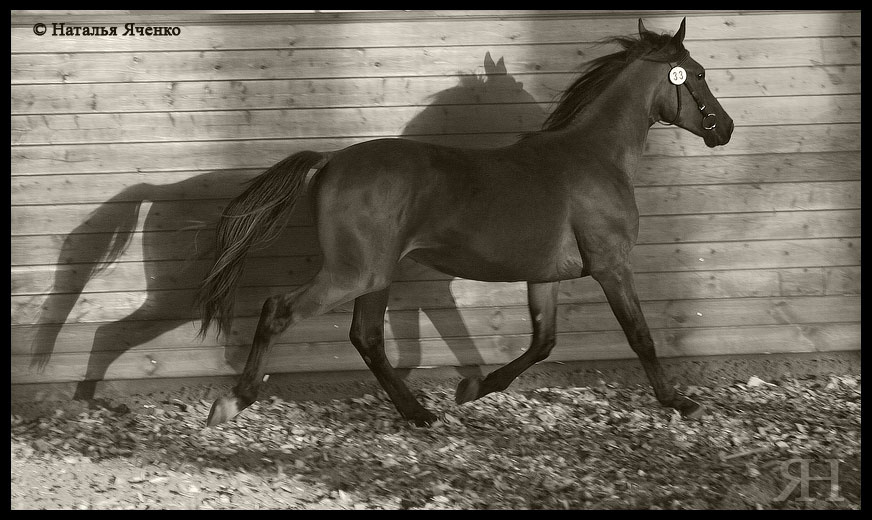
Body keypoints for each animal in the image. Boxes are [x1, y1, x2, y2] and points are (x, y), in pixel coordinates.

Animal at [198, 18, 734, 427]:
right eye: (699, 73)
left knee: (367, 339)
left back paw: (418, 413)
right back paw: (232, 402)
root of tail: (330, 161)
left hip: (375, 276)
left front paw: (472, 388)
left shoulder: (545, 276)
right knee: (278, 311)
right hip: (354, 274)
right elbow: (640, 336)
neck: (596, 157)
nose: (725, 129)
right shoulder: (612, 266)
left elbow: (543, 343)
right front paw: (679, 402)